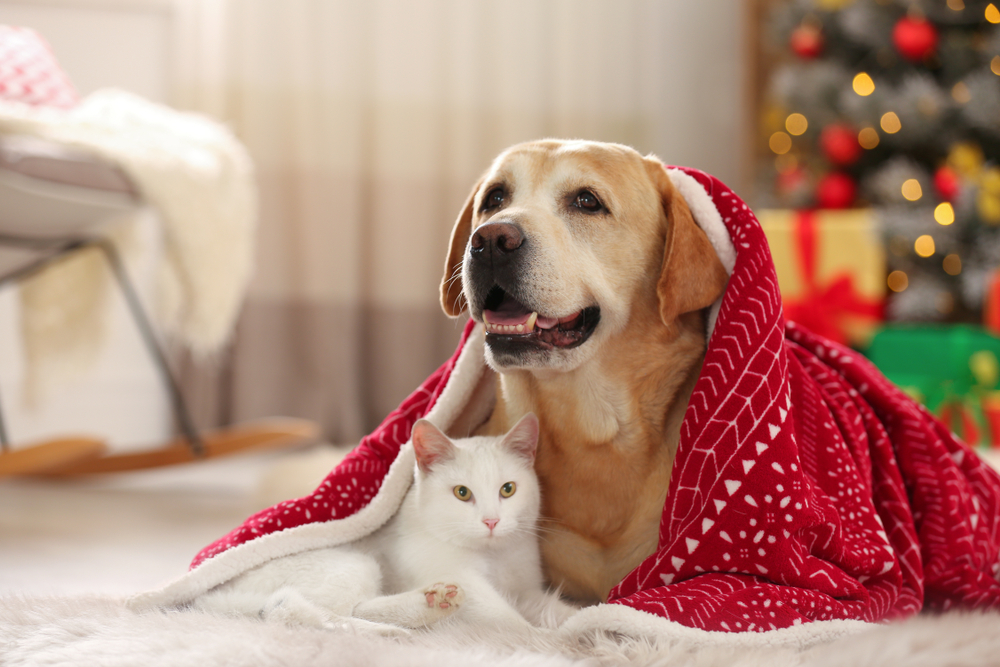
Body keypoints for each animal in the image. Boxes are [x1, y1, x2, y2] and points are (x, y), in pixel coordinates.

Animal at [190, 412, 576, 636]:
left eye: (508, 489)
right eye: (462, 493)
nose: (492, 520)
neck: (494, 555)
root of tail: (215, 591)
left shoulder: (526, 589)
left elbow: (551, 606)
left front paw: (578, 618)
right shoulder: (463, 579)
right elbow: (508, 620)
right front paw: (550, 639)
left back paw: (428, 605)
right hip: (352, 563)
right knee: (290, 610)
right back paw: (390, 627)